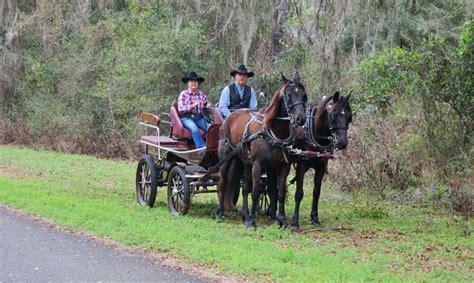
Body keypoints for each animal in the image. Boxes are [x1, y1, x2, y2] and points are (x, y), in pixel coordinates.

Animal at [218, 74, 308, 231]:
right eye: (289, 94)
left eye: (303, 95)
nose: (300, 118)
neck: (273, 132)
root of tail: (231, 116)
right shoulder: (258, 165)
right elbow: (256, 192)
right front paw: (252, 223)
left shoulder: (282, 166)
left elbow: (279, 192)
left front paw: (282, 221)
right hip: (227, 158)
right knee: (223, 183)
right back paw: (221, 213)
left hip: (244, 162)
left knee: (245, 188)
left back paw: (245, 215)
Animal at [288, 90, 352, 229]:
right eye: (334, 114)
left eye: (349, 116)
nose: (343, 143)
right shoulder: (301, 166)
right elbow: (299, 193)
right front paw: (295, 221)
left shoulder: (321, 168)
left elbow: (316, 192)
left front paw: (315, 218)